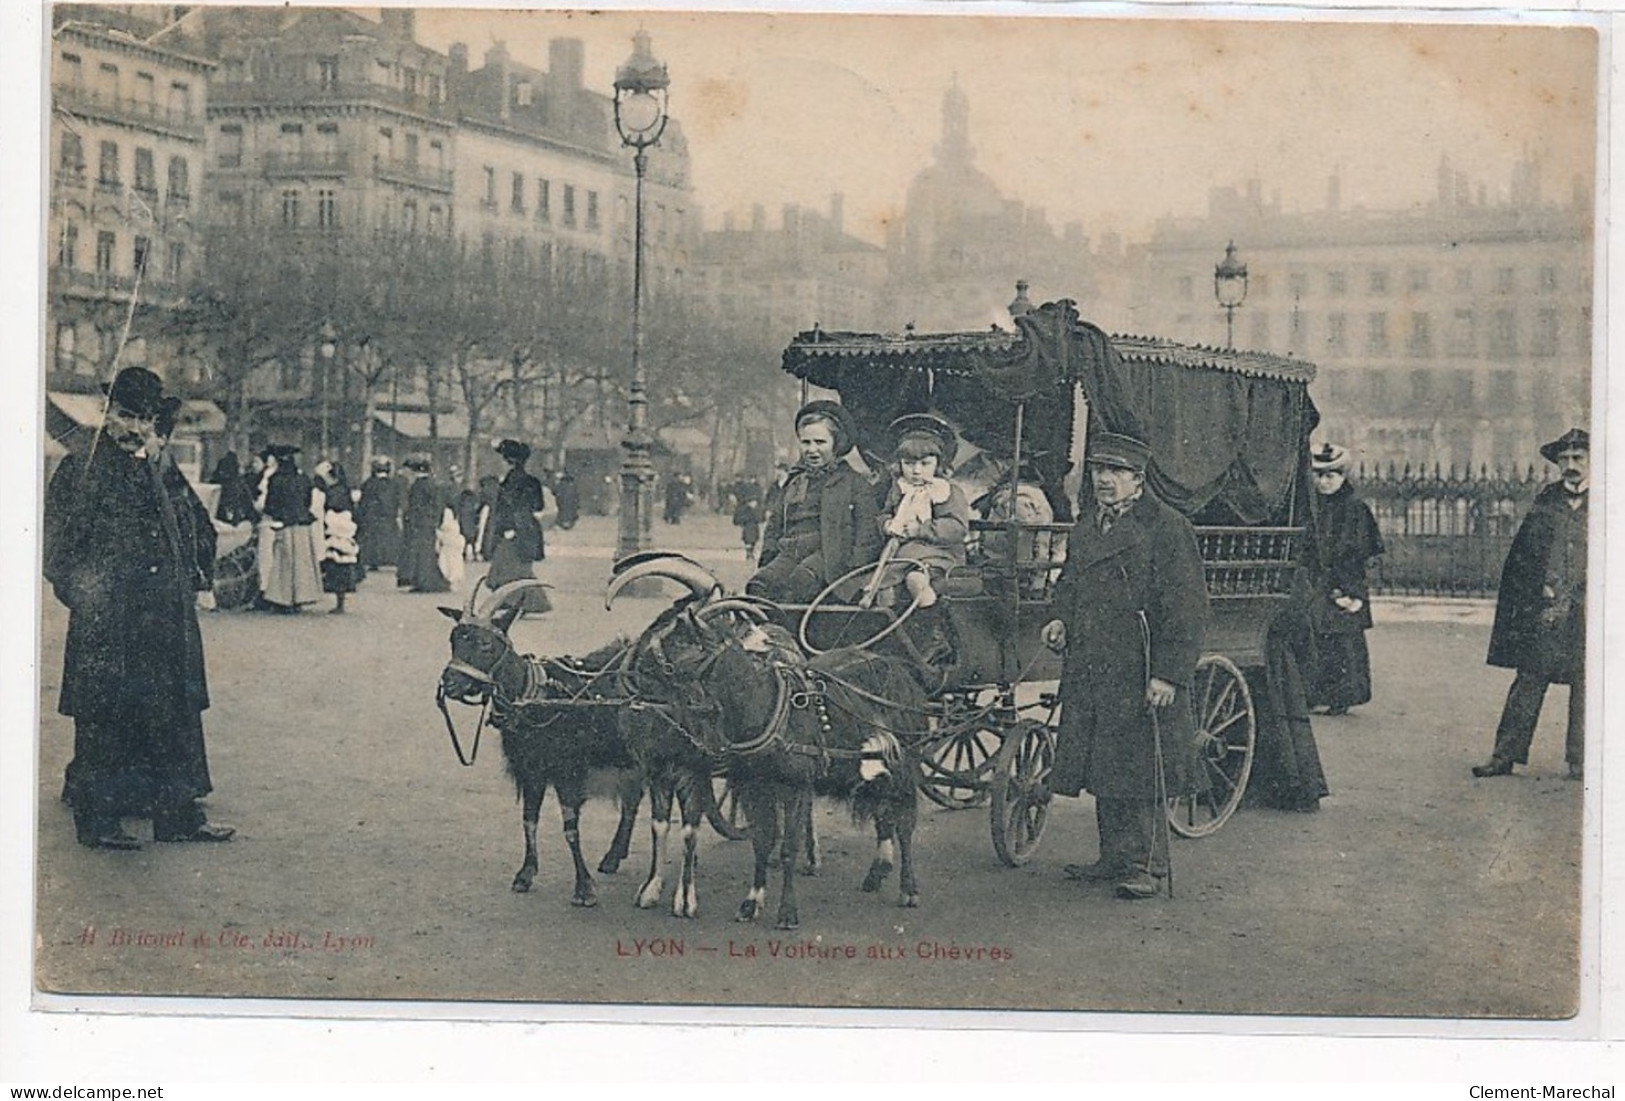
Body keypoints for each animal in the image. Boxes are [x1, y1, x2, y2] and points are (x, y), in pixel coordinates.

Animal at [445, 581, 646, 909]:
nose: (448, 683)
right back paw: (613, 857)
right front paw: (525, 875)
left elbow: (570, 828)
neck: (536, 697)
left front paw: (584, 889)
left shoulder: (567, 773)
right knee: (633, 800)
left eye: (485, 644)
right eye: (453, 641)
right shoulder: (531, 773)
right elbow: (529, 820)